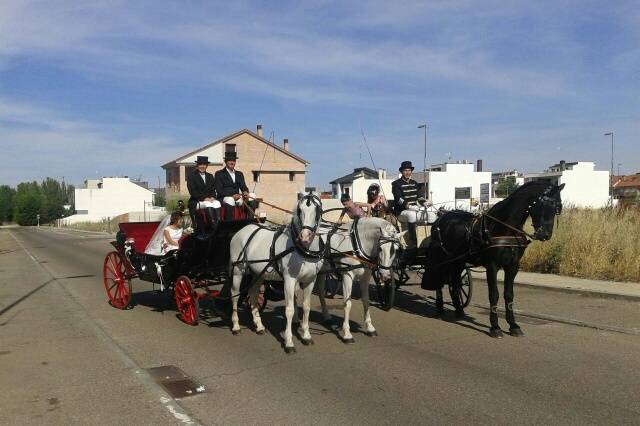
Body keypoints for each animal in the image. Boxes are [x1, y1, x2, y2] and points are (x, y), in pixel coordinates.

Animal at [228, 192, 322, 352]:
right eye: (299, 210)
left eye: (318, 210)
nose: (305, 236)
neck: (303, 250)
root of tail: (241, 231)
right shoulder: (289, 280)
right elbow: (289, 310)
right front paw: (289, 342)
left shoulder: (310, 280)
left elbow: (306, 307)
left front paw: (306, 336)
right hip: (238, 271)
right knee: (234, 295)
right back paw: (235, 326)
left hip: (257, 273)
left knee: (253, 294)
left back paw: (259, 326)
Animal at [420, 181, 564, 338]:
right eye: (542, 205)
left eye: (558, 207)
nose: (545, 235)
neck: (506, 228)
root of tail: (441, 218)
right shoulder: (492, 266)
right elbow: (494, 295)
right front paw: (495, 327)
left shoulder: (513, 266)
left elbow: (509, 295)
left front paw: (513, 325)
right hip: (442, 259)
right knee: (439, 281)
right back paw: (440, 308)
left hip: (458, 261)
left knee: (455, 284)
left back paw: (459, 311)